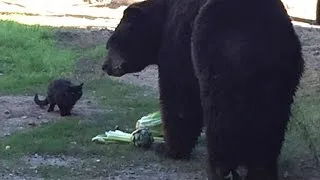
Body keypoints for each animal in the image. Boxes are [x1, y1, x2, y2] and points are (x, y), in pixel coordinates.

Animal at [102, 0, 304, 179]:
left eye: (111, 42)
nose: (105, 66)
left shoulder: (179, 42)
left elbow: (179, 94)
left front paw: (168, 148)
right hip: (283, 72)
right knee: (272, 119)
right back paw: (261, 169)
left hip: (219, 56)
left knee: (220, 115)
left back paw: (220, 168)